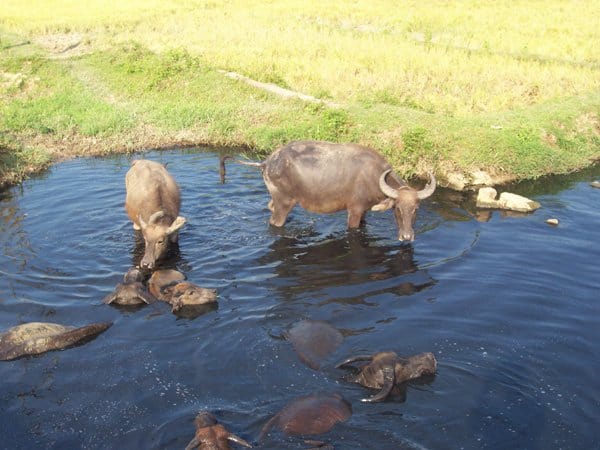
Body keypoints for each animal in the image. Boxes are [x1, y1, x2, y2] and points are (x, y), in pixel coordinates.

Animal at [218, 141, 434, 241]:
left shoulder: (364, 211)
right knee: (275, 222)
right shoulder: (354, 210)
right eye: (397, 209)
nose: (407, 237)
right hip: (283, 203)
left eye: (416, 209)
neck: (374, 176)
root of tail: (267, 162)